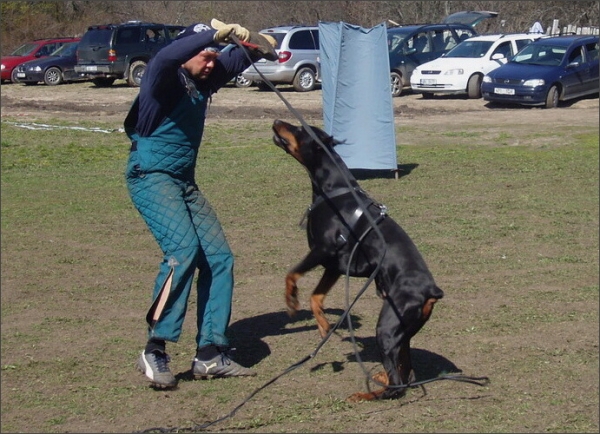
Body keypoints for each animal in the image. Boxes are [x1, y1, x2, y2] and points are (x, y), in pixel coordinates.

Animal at [272, 118, 446, 400]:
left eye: (299, 129)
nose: (277, 120)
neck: (334, 189)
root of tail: (431, 291)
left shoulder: (323, 250)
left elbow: (291, 273)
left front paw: (290, 301)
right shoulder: (334, 265)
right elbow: (316, 297)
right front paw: (323, 325)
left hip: (387, 328)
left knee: (398, 384)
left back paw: (367, 395)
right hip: (404, 333)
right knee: (406, 373)